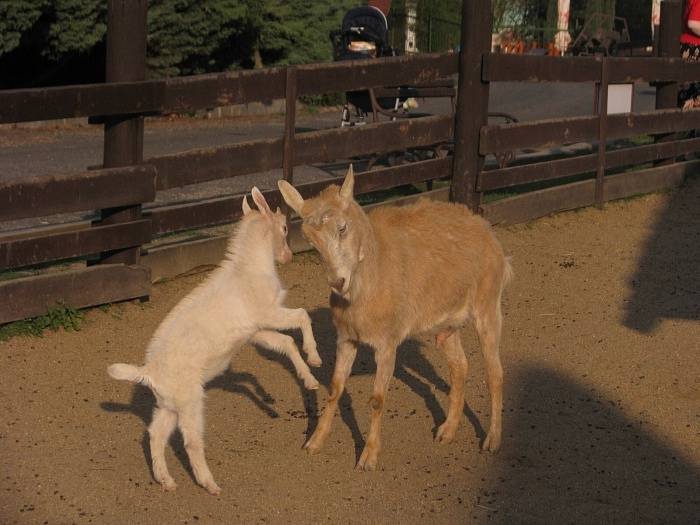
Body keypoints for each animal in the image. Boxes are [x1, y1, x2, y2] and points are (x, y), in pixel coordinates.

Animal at [107, 186, 322, 494]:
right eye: (283, 227)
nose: (288, 256)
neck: (249, 269)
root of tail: (148, 372)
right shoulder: (267, 313)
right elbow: (303, 316)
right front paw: (315, 357)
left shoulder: (255, 329)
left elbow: (284, 344)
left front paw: (303, 384)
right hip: (190, 401)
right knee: (190, 441)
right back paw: (209, 484)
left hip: (169, 405)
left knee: (155, 434)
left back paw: (166, 480)